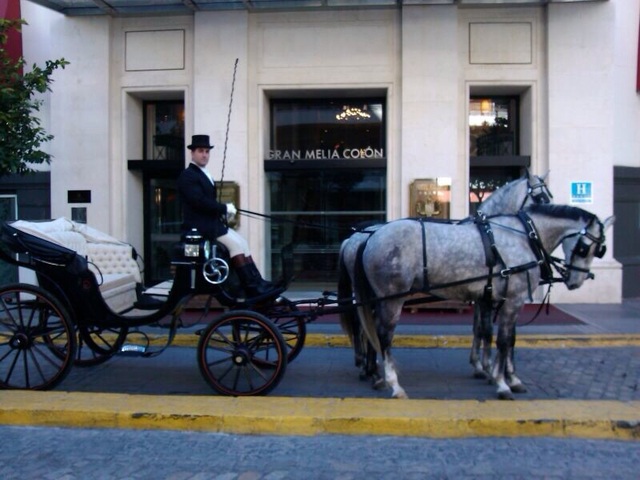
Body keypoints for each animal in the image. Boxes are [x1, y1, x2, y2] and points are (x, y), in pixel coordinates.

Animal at [338, 172, 552, 386]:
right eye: (541, 197)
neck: (490, 237)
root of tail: (357, 238)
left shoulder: (482, 295)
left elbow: (479, 328)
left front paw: (481, 366)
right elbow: (487, 330)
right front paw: (490, 369)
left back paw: (369, 368)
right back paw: (369, 368)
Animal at [352, 204, 612, 400]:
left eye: (598, 249)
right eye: (585, 248)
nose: (576, 281)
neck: (524, 237)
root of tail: (372, 236)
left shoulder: (494, 299)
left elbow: (498, 336)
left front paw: (508, 377)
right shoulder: (513, 300)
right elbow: (504, 341)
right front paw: (502, 383)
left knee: (372, 331)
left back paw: (376, 374)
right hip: (393, 299)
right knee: (384, 336)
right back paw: (394, 384)